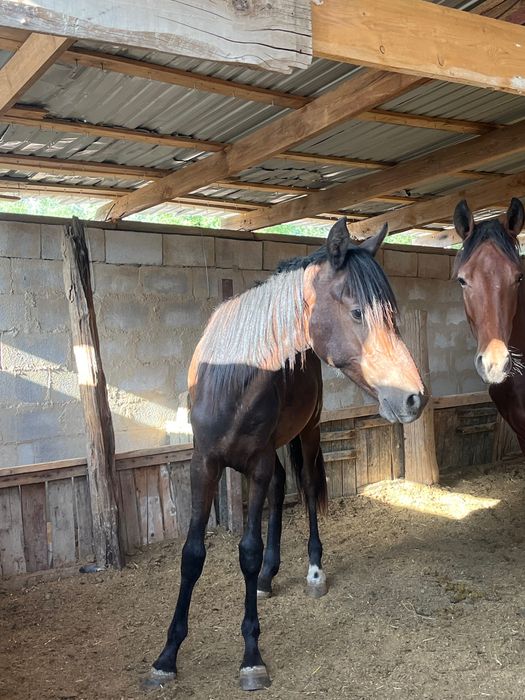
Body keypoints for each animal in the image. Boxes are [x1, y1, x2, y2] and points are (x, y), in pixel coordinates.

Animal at [145, 218, 427, 692]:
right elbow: (192, 554)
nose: (413, 398)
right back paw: (268, 577)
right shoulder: (204, 465)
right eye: (357, 313)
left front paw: (251, 658)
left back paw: (312, 571)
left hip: (307, 432)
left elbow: (248, 549)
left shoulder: (255, 465)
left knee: (307, 487)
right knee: (281, 488)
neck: (233, 375)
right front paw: (167, 656)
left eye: (391, 315)